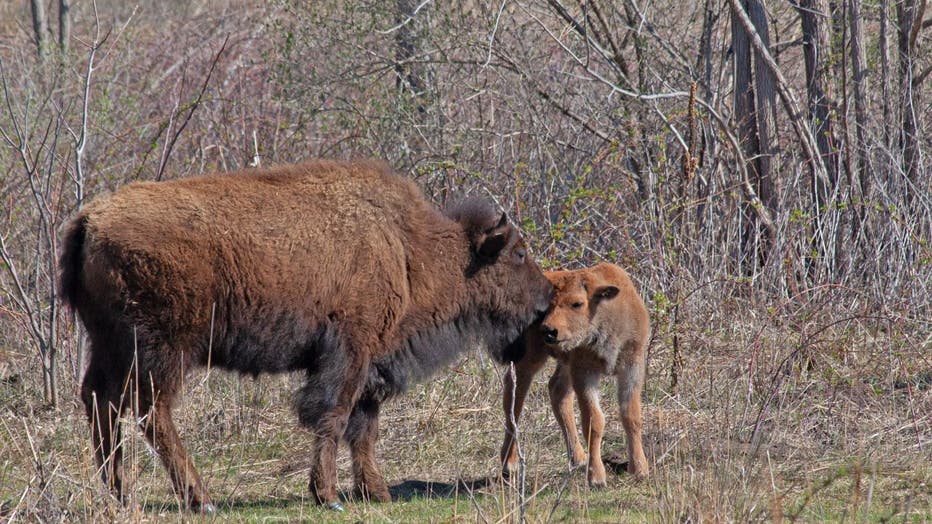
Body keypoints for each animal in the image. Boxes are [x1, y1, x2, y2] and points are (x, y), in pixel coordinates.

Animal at [60, 160, 552, 512]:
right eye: (518, 254)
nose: (546, 297)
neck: (406, 248)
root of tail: (90, 221)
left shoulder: (371, 362)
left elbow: (364, 426)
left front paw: (376, 492)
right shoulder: (348, 352)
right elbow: (334, 416)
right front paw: (328, 496)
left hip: (109, 345)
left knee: (100, 400)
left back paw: (121, 494)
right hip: (163, 350)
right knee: (150, 411)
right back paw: (201, 499)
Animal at [502, 264, 648, 490]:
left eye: (577, 303)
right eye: (549, 305)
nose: (549, 330)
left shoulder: (632, 367)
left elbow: (631, 415)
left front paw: (640, 469)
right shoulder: (584, 372)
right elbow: (593, 420)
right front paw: (597, 478)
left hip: (563, 364)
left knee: (557, 391)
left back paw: (578, 458)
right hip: (530, 358)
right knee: (514, 399)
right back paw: (510, 464)